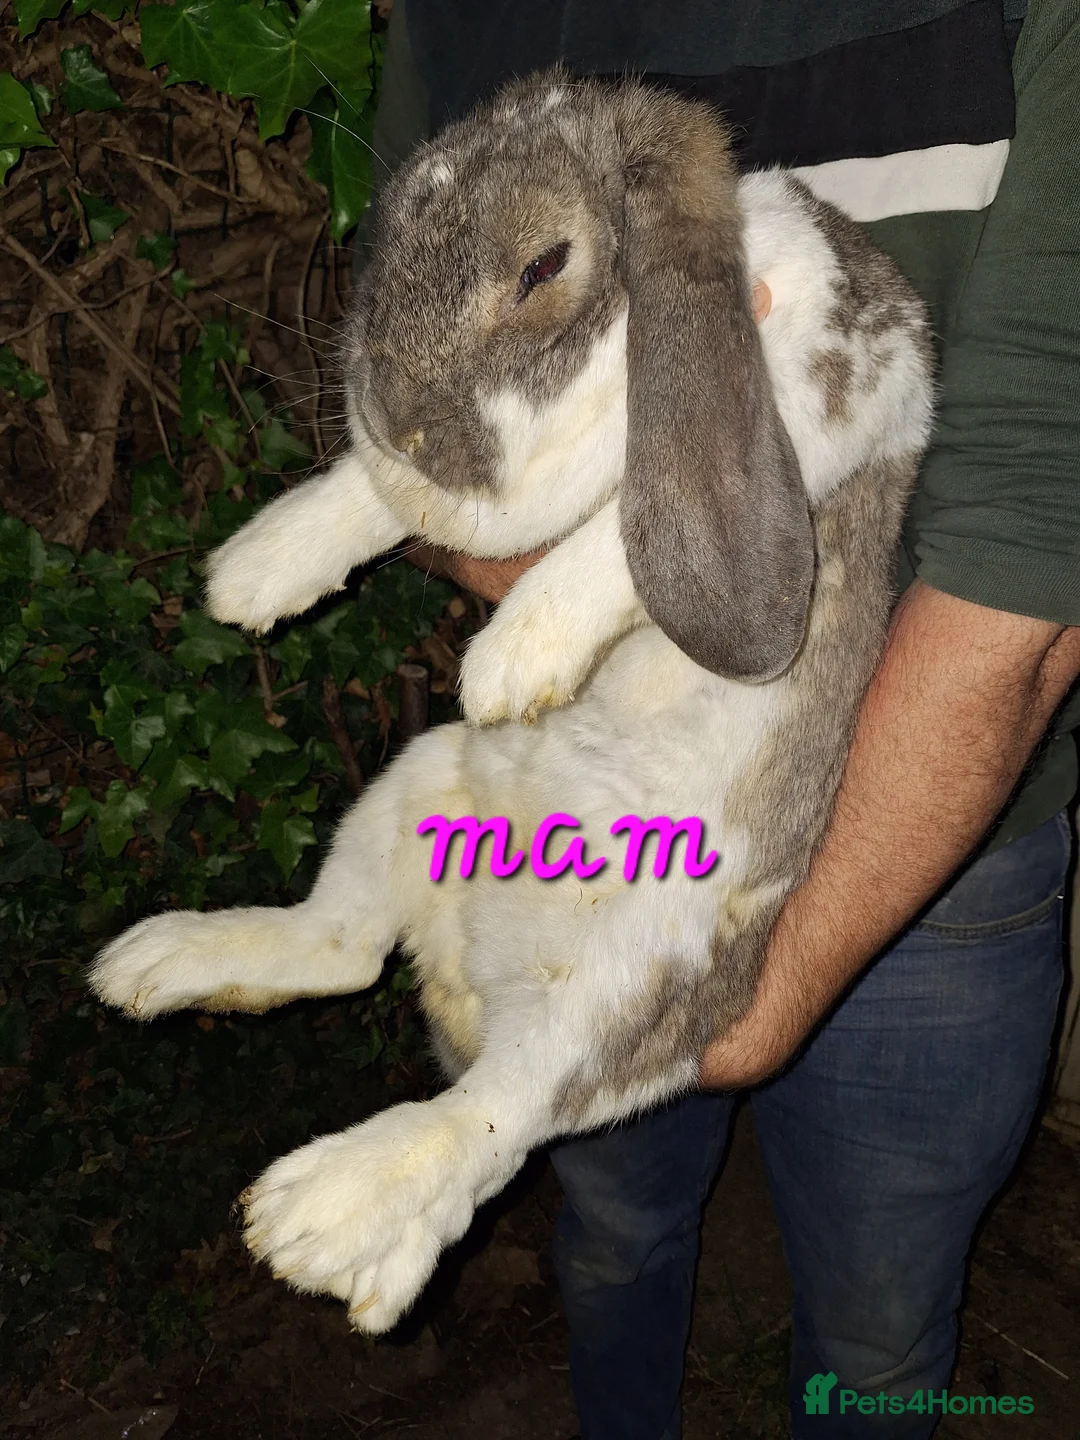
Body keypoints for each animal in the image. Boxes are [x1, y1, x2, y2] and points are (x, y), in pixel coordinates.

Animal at [89, 71, 934, 1336]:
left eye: (544, 264)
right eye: (390, 229)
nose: (400, 414)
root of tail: (472, 979)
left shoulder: (844, 389)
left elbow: (615, 535)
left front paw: (512, 657)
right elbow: (389, 500)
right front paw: (258, 573)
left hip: (624, 982)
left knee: (501, 1111)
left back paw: (320, 1215)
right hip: (412, 785)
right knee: (339, 949)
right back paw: (158, 963)